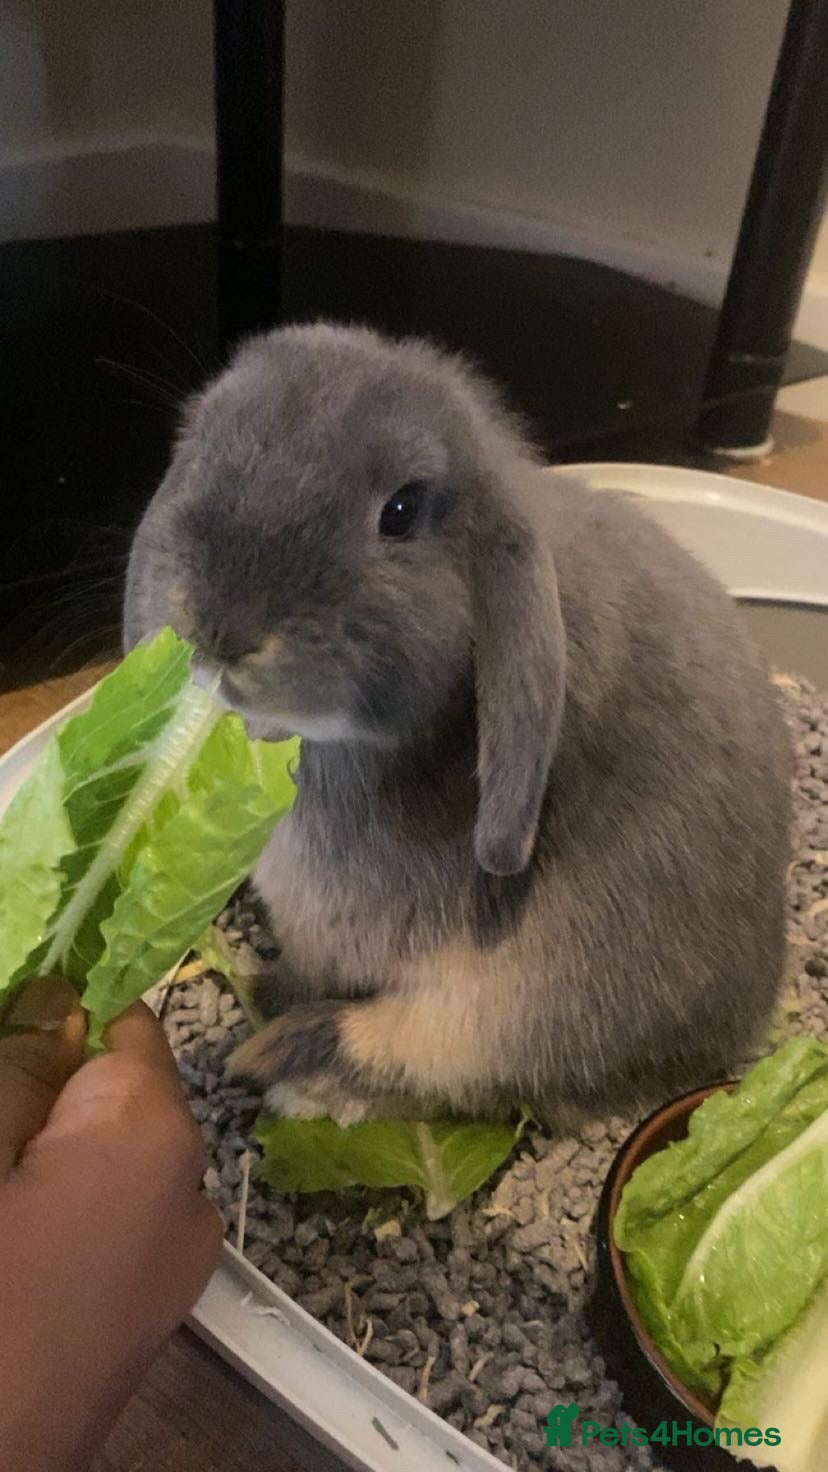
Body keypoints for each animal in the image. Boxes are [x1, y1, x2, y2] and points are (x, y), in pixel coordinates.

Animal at [124, 321, 792, 1127]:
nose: (221, 628)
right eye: (199, 443)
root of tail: (749, 1009)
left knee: (430, 1054)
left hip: (532, 998)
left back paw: (276, 1061)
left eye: (402, 512)